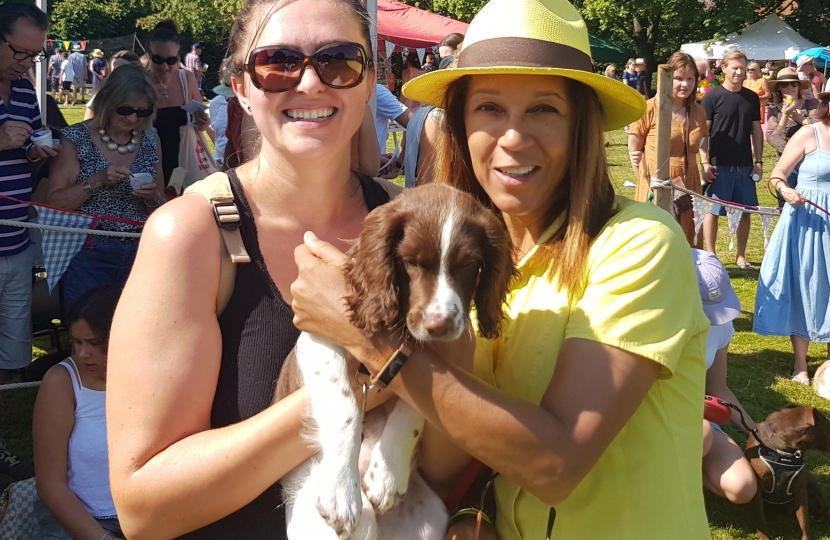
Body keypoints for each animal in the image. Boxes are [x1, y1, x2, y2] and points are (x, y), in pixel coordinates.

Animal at [276, 182, 516, 540]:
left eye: (469, 264)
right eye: (411, 262)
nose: (439, 325)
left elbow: (414, 406)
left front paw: (386, 478)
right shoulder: (317, 339)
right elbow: (345, 405)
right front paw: (341, 494)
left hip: (430, 515)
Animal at [748, 408, 830, 536]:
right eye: (829, 428)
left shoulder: (800, 488)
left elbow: (804, 521)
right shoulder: (757, 487)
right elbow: (759, 517)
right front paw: (764, 536)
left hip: (817, 493)